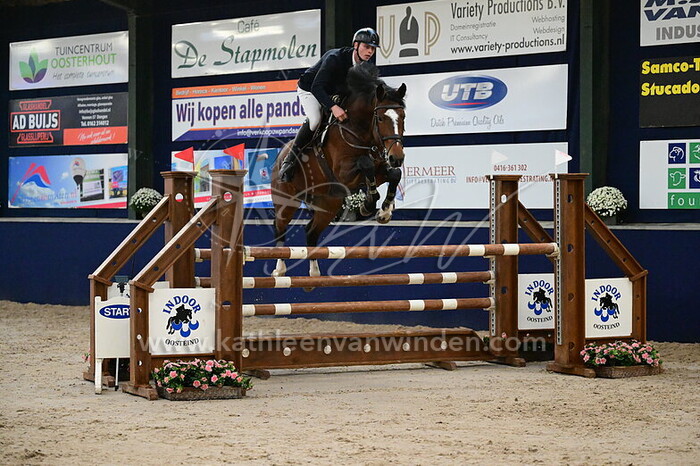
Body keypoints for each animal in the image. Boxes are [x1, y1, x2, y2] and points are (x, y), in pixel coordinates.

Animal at [270, 62, 407, 278]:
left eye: (402, 116)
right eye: (379, 118)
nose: (397, 157)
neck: (360, 131)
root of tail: (280, 156)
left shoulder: (379, 170)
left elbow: (394, 174)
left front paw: (384, 212)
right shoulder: (344, 174)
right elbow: (365, 165)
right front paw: (368, 204)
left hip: (328, 204)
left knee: (311, 231)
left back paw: (315, 272)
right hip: (286, 200)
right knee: (280, 227)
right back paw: (280, 269)